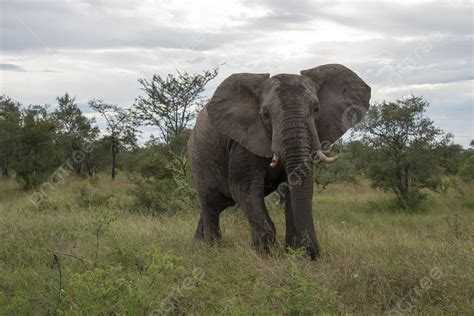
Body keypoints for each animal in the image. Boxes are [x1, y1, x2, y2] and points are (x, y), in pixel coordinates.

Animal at [188, 64, 370, 260]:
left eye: (316, 109)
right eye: (266, 114)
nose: (314, 255)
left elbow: (297, 185)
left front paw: (293, 253)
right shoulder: (242, 141)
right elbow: (245, 188)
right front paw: (263, 254)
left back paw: (198, 244)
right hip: (198, 157)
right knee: (210, 202)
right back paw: (212, 248)